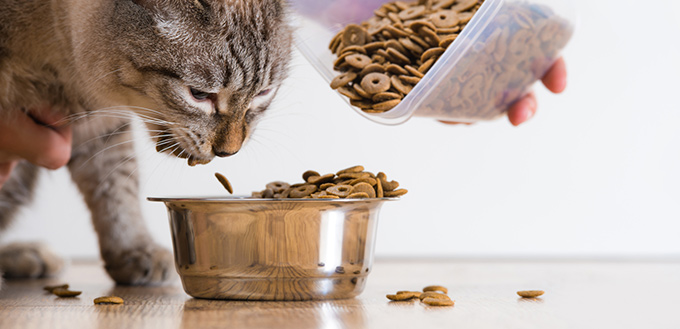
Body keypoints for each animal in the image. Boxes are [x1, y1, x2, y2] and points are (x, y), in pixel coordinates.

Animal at [0, 0, 292, 286]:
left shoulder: (105, 126)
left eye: (263, 93)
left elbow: (118, 191)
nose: (228, 152)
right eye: (199, 95)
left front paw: (135, 252)